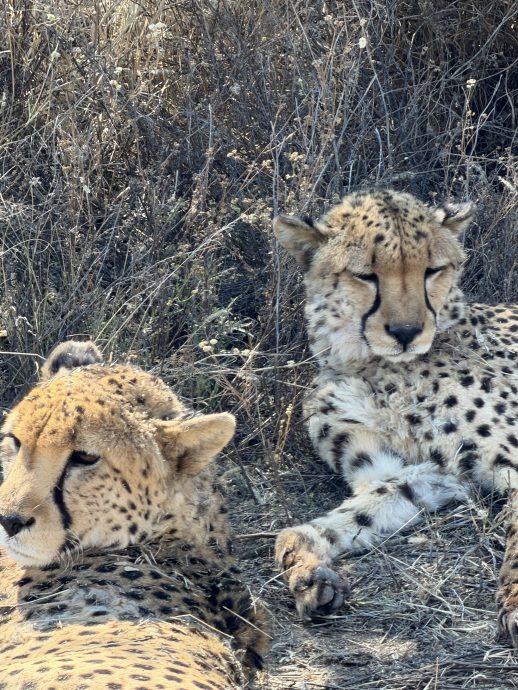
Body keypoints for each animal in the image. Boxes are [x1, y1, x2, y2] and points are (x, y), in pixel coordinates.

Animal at [273, 188, 518, 645]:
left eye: (432, 270)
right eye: (365, 275)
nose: (406, 332)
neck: (362, 363)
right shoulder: (429, 473)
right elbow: (341, 518)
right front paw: (308, 569)